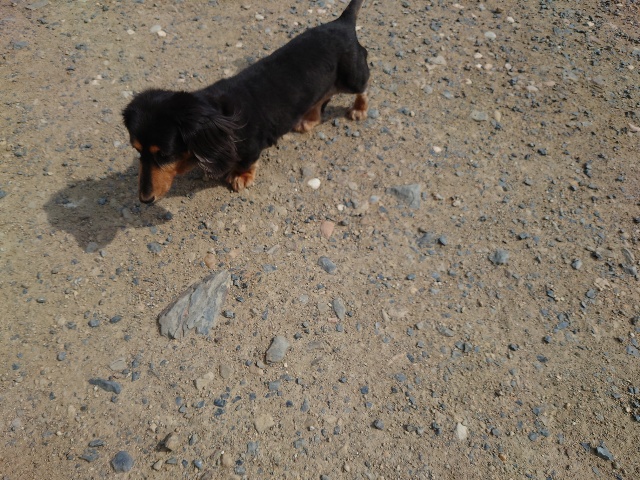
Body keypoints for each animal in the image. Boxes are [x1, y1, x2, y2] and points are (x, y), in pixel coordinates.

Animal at [122, 0, 369, 204]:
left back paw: (359, 109)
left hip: (353, 78)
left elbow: (246, 163)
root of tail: (343, 22)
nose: (144, 200)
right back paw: (309, 119)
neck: (220, 115)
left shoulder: (251, 147)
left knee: (364, 87)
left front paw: (241, 177)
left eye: (164, 155)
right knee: (324, 95)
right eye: (137, 150)